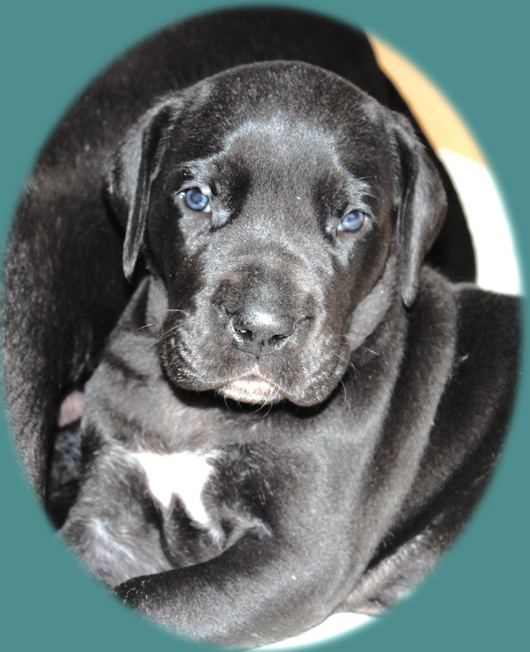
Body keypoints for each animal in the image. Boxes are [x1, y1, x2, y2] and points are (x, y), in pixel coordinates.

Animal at [1, 7, 518, 649]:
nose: (263, 328)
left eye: (353, 219)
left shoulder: (297, 555)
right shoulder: (110, 512)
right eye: (197, 198)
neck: (201, 414)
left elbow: (144, 595)